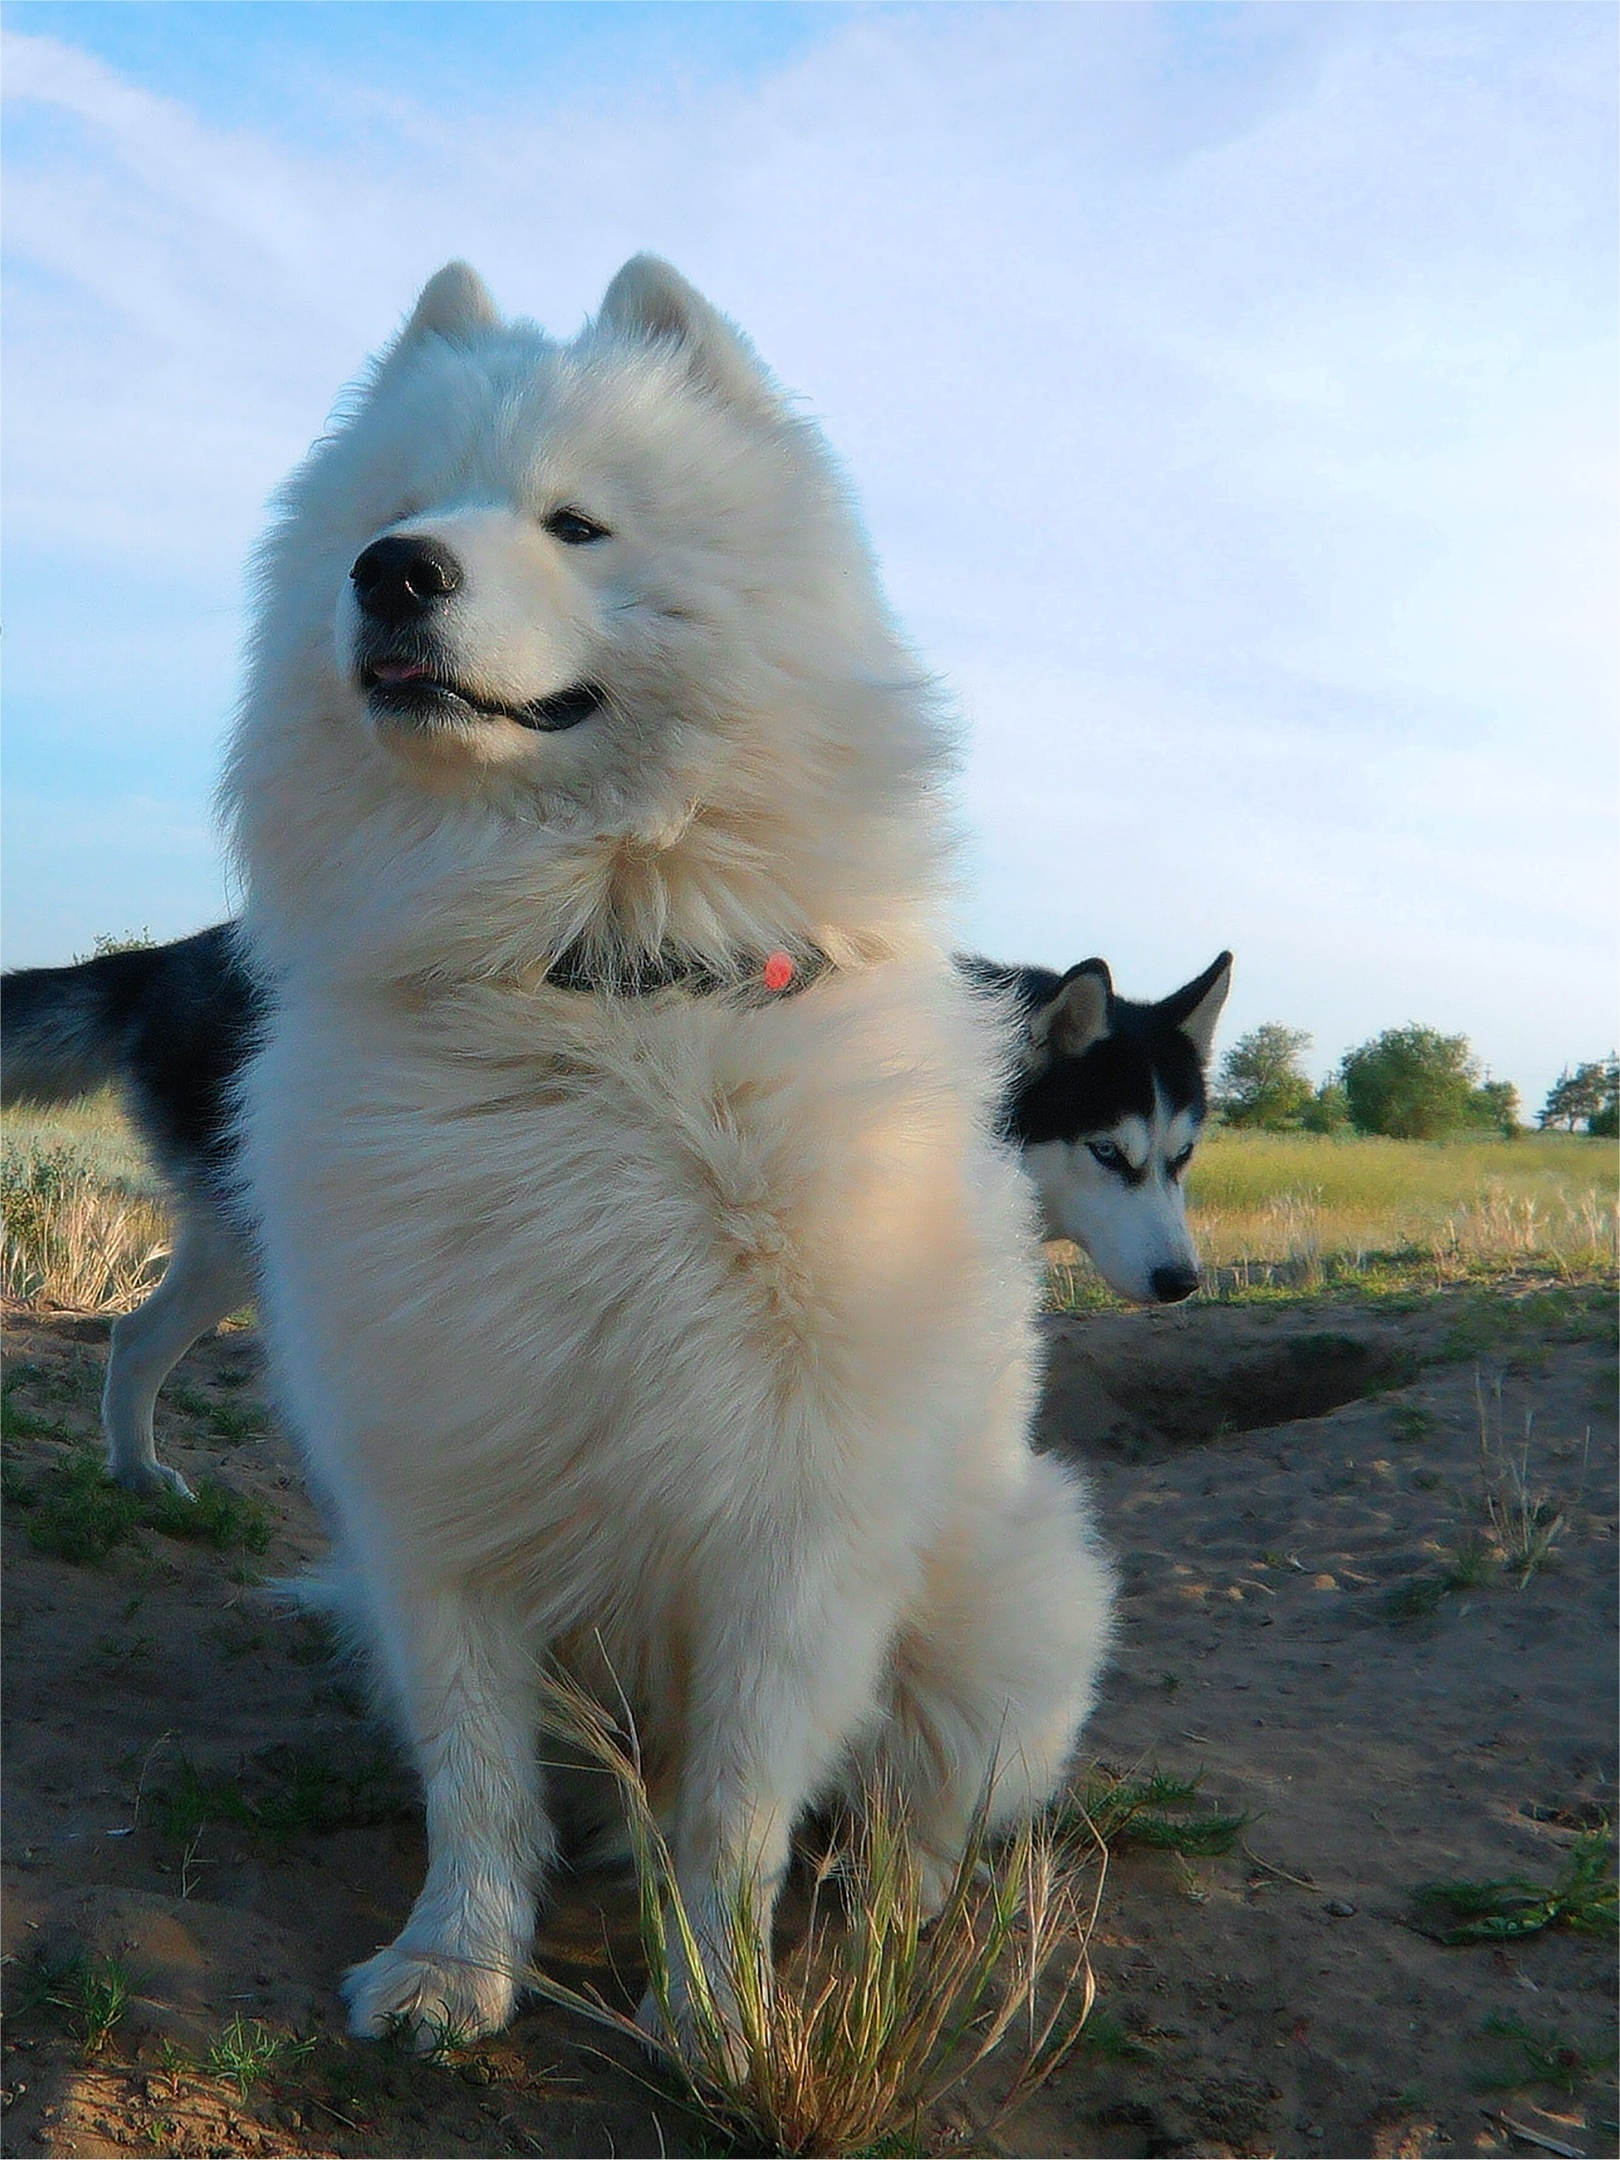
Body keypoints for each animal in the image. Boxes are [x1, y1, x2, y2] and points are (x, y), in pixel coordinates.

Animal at [225, 252, 1114, 2039]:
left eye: (577, 525)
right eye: (401, 509)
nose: (392, 571)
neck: (589, 988)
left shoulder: (793, 1535)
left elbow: (736, 1810)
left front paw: (715, 2018)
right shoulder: (437, 1498)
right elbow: (476, 1778)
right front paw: (453, 1964)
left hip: (1011, 1602)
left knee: (921, 1811)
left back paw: (889, 1922)